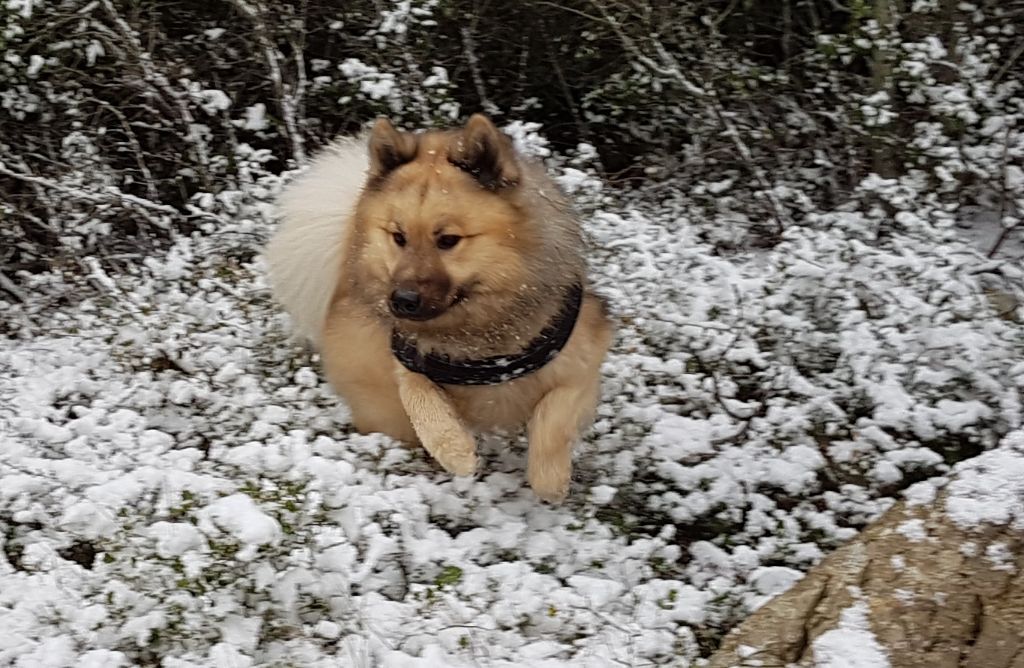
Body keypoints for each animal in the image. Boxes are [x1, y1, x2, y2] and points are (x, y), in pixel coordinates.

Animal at [268, 114, 610, 499]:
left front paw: (550, 479)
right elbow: (420, 400)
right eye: (398, 237)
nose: (402, 301)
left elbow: (554, 414)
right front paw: (456, 451)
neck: (479, 335)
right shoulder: (406, 358)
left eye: (447, 240)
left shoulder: (583, 365)